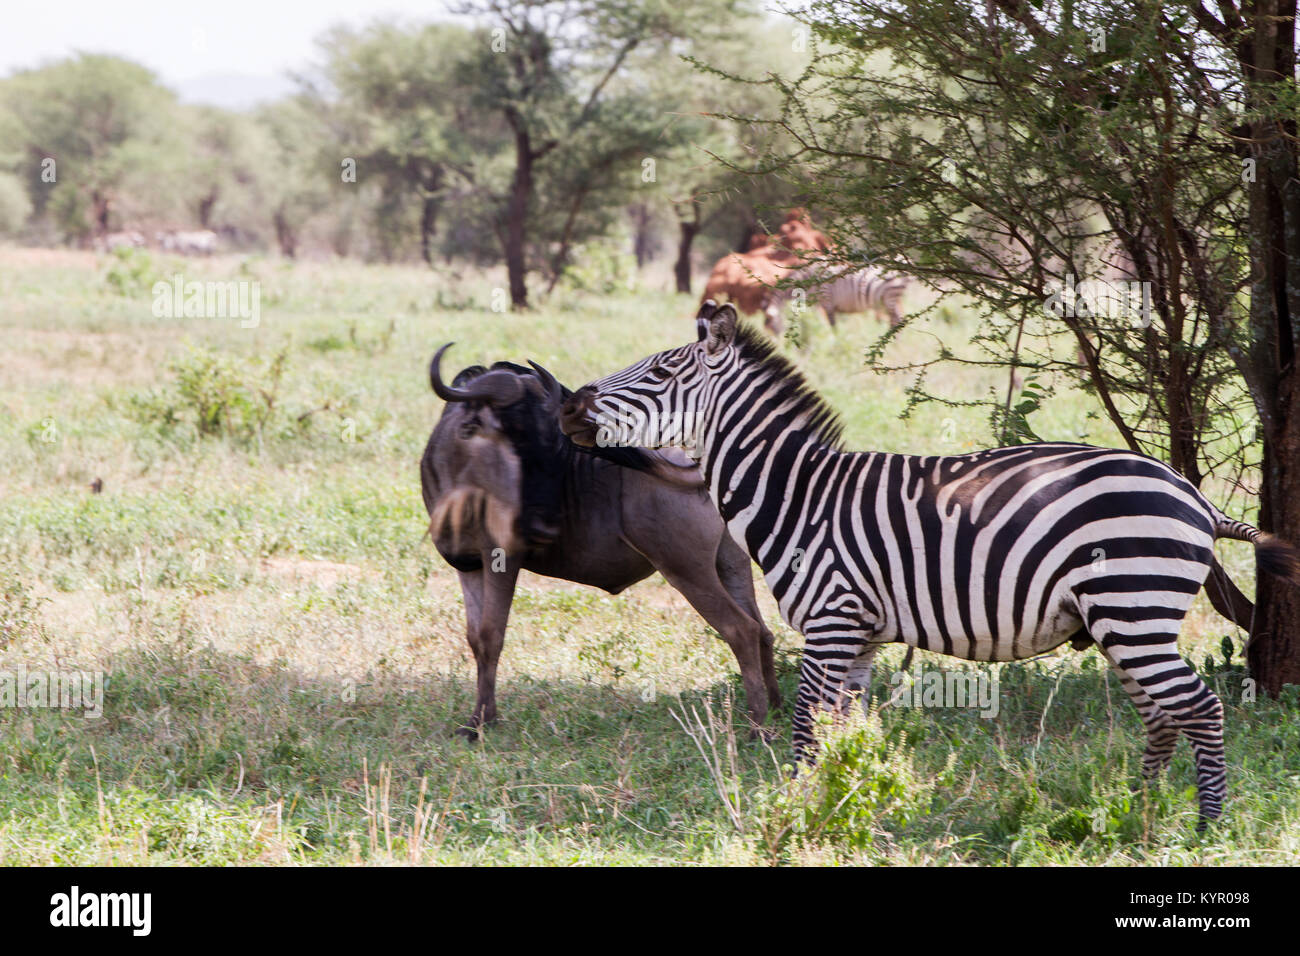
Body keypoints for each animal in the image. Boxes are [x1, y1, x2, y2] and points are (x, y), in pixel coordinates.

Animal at [564, 300, 1300, 832]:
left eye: (660, 374)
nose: (570, 403)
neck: (797, 493)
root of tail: (1194, 495)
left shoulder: (831, 622)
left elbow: (805, 730)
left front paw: (798, 815)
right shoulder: (857, 636)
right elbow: (845, 736)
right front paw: (849, 809)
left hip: (1133, 607)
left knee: (1200, 708)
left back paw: (1205, 826)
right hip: (1128, 620)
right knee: (1162, 714)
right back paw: (1140, 810)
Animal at [774, 265, 909, 329]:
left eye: (771, 322)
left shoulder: (827, 302)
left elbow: (833, 326)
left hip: (889, 298)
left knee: (897, 320)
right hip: (891, 300)